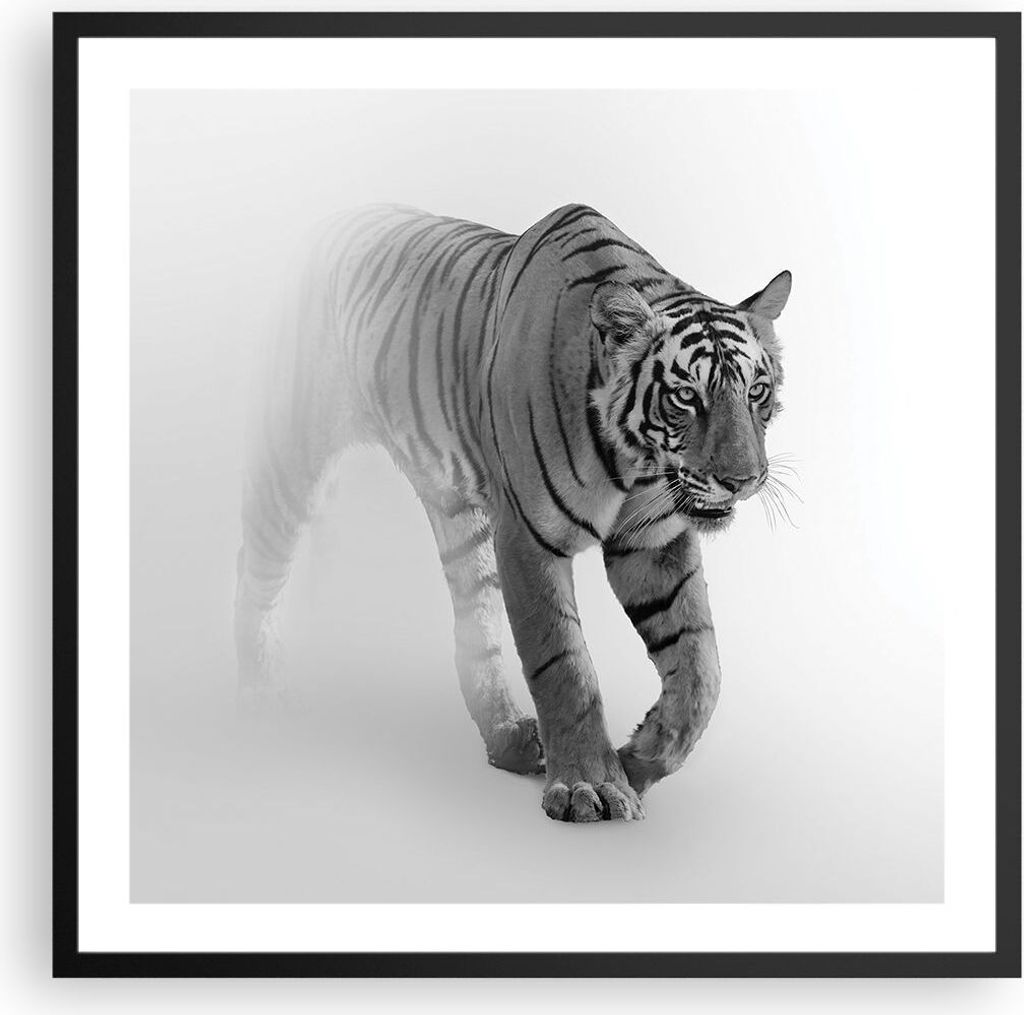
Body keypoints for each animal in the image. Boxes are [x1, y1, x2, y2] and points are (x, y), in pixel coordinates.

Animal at [235, 202, 791, 823]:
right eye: (687, 396)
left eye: (757, 391)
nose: (742, 481)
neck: (634, 462)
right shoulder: (528, 537)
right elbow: (564, 664)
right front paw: (591, 786)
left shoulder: (651, 540)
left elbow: (701, 667)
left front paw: (640, 760)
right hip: (293, 449)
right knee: (255, 566)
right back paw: (258, 693)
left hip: (459, 517)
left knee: (473, 627)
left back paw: (508, 739)